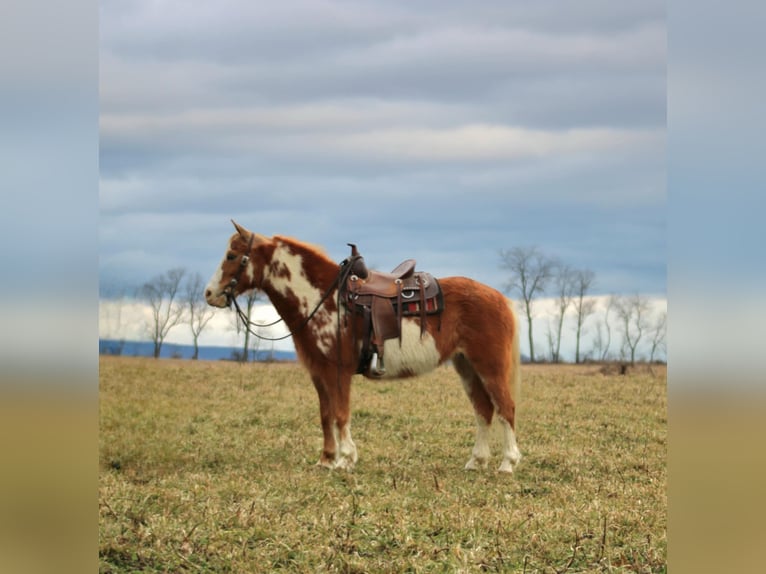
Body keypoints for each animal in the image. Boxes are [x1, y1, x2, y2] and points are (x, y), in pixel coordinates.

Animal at [207, 223, 524, 474]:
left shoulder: (338, 372)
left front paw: (345, 460)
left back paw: (507, 464)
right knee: (483, 410)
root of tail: (500, 298)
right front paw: (326, 459)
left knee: (505, 407)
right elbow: (325, 415)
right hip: (466, 366)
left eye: (232, 255)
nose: (210, 294)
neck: (324, 299)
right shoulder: (318, 372)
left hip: (490, 366)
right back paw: (476, 462)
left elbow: (340, 414)